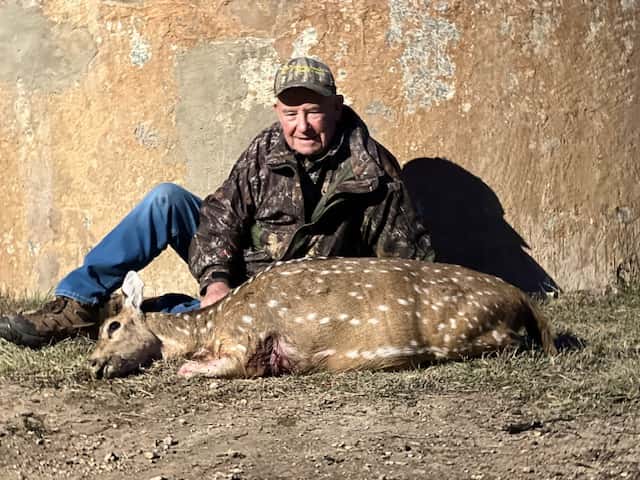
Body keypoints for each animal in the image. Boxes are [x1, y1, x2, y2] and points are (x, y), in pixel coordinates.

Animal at [88, 257, 557, 379]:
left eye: (112, 326)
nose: (92, 364)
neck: (210, 327)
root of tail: (522, 297)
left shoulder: (250, 341)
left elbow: (215, 368)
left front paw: (186, 367)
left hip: (471, 328)